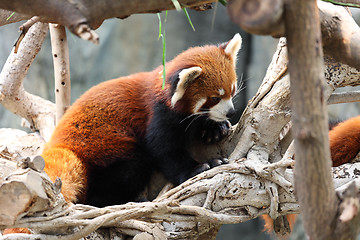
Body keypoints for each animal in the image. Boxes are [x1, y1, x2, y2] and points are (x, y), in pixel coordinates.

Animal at [39, 33, 242, 206]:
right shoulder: (158, 115)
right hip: (106, 151)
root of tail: (61, 146)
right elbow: (164, 150)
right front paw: (199, 167)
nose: (231, 112)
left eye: (232, 90)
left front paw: (215, 129)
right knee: (129, 170)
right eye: (214, 98)